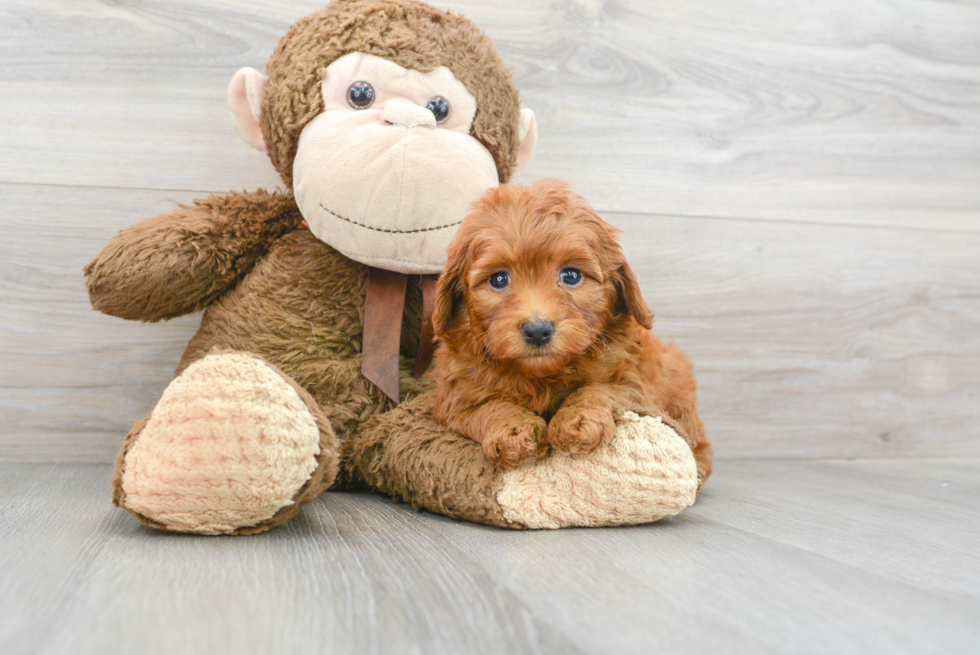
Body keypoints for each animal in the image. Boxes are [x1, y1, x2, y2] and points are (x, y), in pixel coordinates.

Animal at [428, 179, 712, 486]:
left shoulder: (636, 385)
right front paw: (514, 431)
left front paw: (577, 420)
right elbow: (488, 407)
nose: (537, 330)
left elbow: (599, 389)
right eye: (499, 279)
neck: (543, 376)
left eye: (571, 276)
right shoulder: (456, 398)